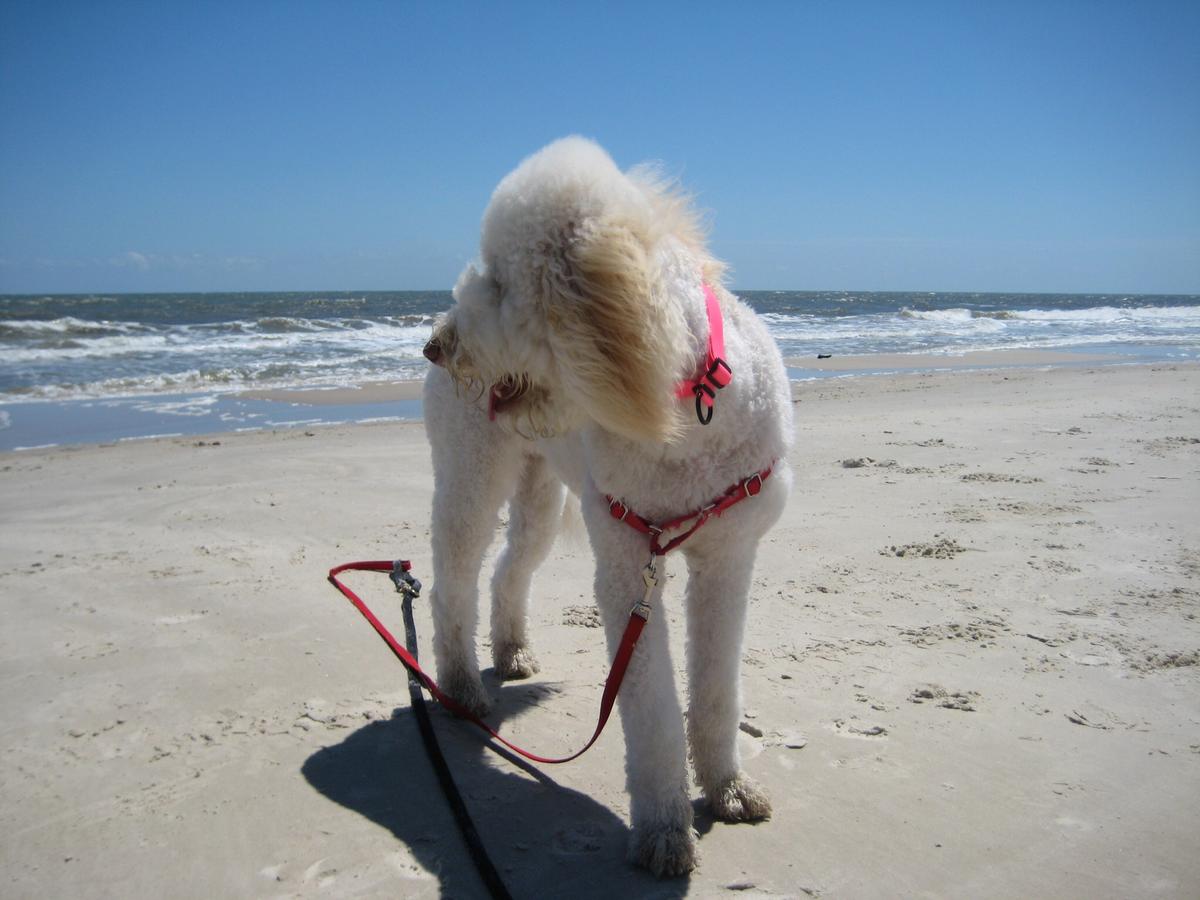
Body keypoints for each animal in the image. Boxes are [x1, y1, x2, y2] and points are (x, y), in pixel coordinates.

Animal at [424, 137, 796, 878]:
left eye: (501, 285)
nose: (436, 346)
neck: (688, 415)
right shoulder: (629, 567)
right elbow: (651, 715)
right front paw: (664, 830)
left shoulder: (729, 559)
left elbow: (718, 690)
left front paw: (728, 788)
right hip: (470, 476)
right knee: (453, 582)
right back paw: (462, 687)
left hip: (540, 491)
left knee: (510, 570)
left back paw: (511, 652)